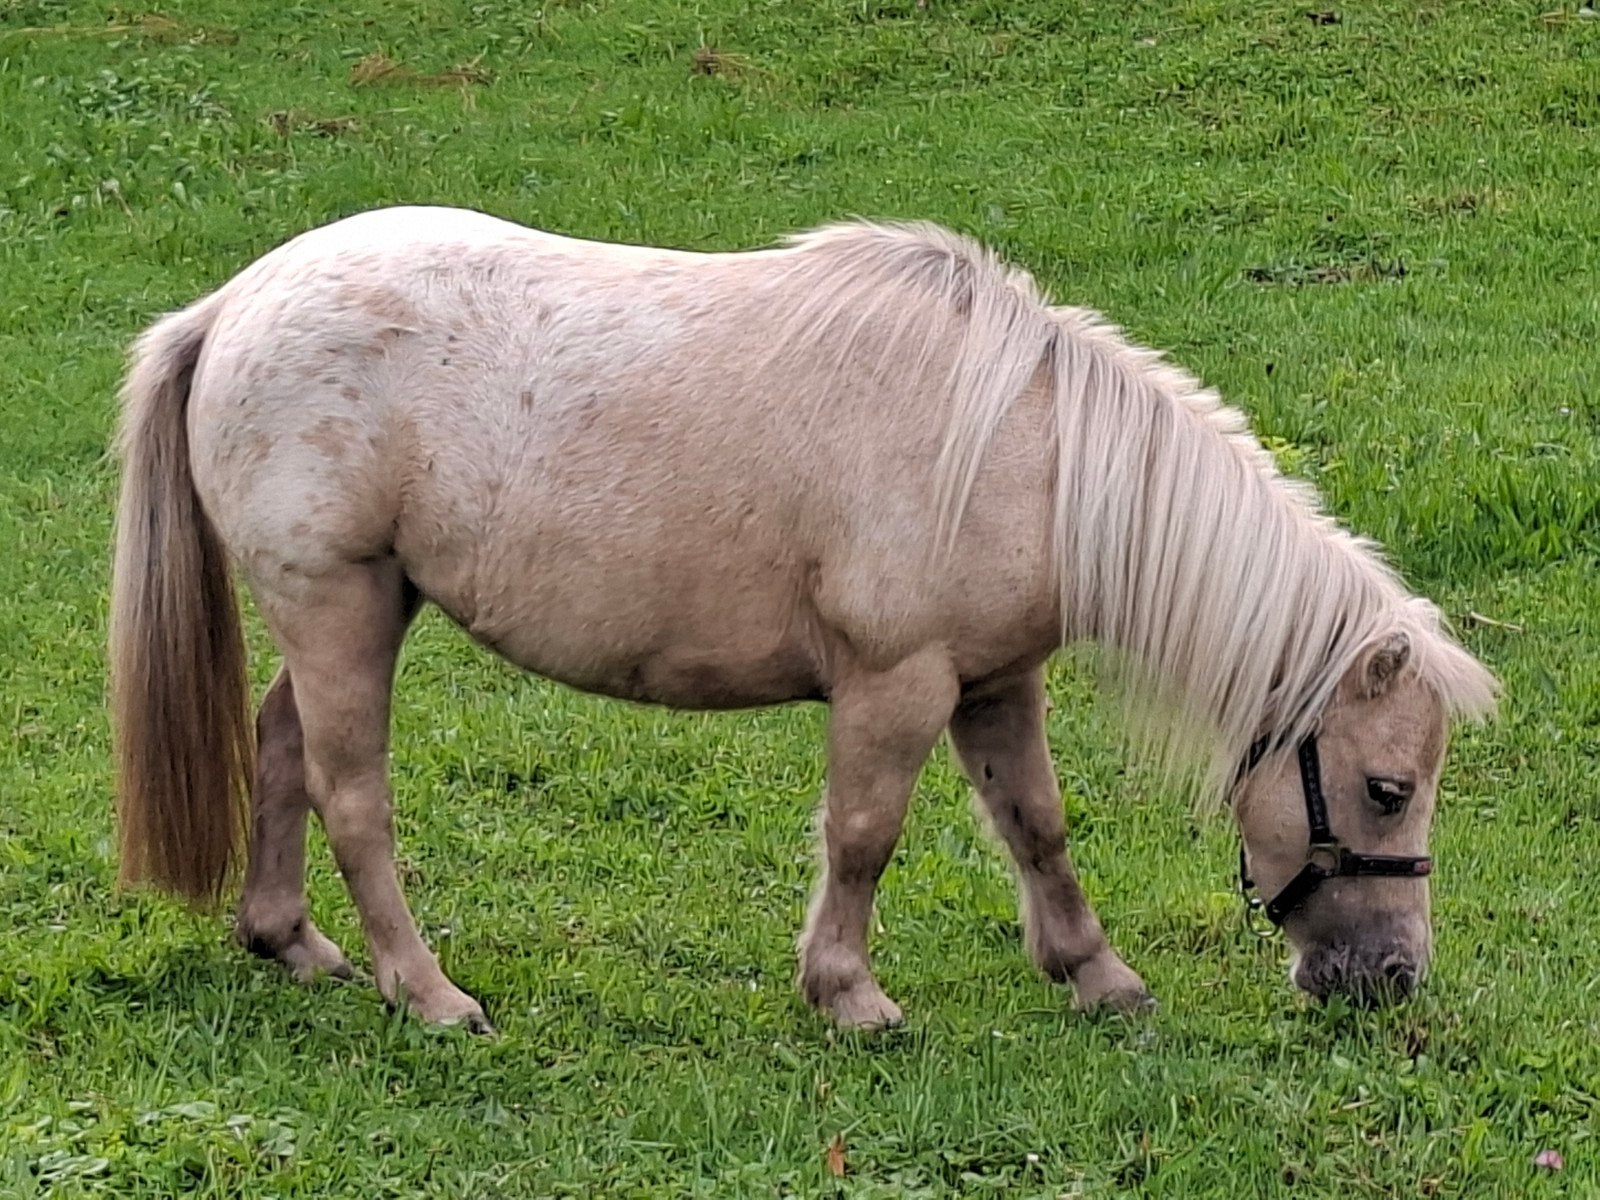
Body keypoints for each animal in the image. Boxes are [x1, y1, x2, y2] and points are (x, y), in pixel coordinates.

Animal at [109, 206, 1497, 1033]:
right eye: (1386, 790)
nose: (1390, 981)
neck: (1025, 452)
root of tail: (233, 304)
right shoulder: (898, 684)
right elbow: (864, 838)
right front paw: (849, 997)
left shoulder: (994, 683)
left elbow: (1036, 829)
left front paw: (1095, 976)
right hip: (335, 603)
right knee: (353, 797)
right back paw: (429, 993)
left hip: (359, 608)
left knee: (281, 747)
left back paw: (291, 945)